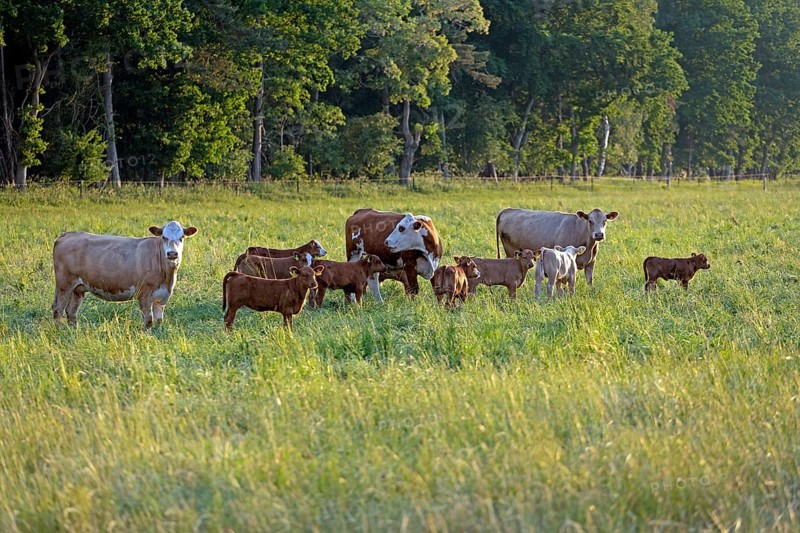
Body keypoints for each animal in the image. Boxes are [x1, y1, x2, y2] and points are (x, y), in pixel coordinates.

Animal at [52, 221, 198, 327]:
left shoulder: (161, 297)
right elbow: (148, 320)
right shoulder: (144, 294)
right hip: (64, 284)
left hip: (78, 288)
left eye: (182, 237)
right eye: (163, 237)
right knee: (58, 309)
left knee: (71, 311)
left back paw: (73, 330)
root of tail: (68, 234)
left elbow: (158, 321)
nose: (172, 254)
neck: (167, 277)